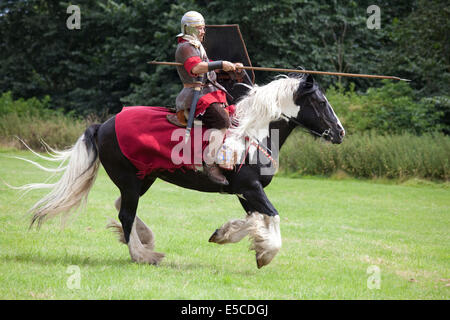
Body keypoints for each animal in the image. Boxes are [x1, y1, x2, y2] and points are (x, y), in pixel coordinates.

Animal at [14, 72, 344, 268]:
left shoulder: (245, 192)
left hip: (143, 179)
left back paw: (143, 241)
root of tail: (104, 125)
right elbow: (271, 217)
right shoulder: (249, 188)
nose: (340, 132)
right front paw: (266, 253)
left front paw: (225, 234)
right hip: (130, 180)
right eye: (320, 101)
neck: (254, 133)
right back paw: (144, 255)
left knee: (122, 208)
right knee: (126, 214)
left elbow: (254, 220)